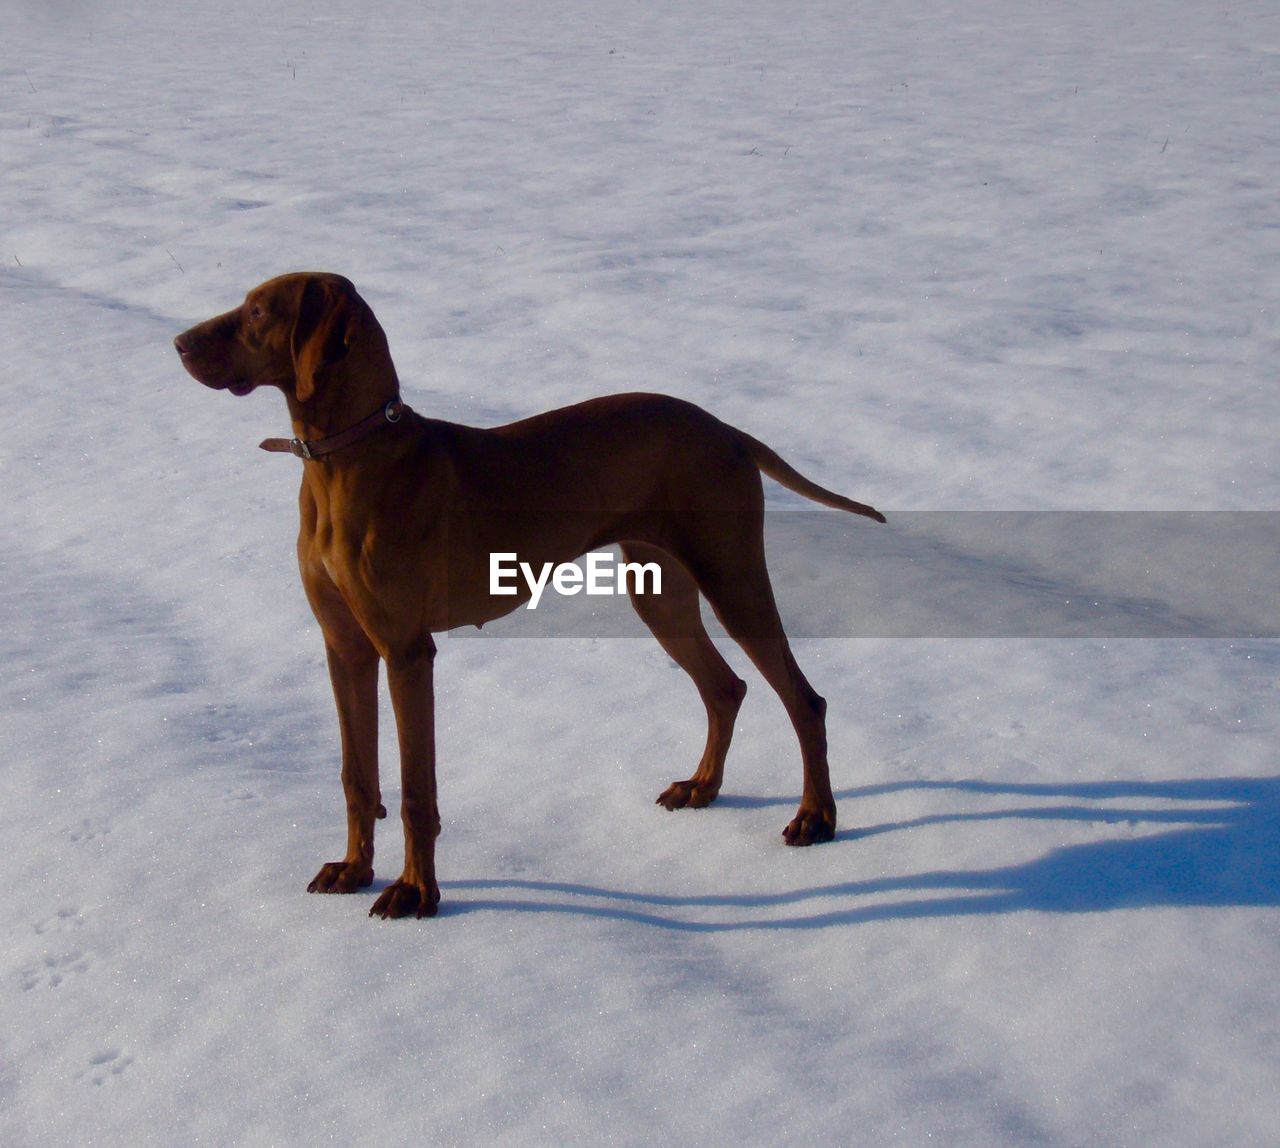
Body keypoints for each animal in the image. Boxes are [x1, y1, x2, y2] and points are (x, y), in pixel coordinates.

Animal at [175, 273, 885, 916]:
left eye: (259, 310)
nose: (177, 342)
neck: (347, 457)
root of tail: (727, 429)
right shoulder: (344, 648)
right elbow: (356, 774)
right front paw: (354, 870)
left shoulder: (406, 652)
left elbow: (414, 789)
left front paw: (416, 892)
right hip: (659, 593)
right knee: (725, 688)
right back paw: (704, 787)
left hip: (732, 579)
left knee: (804, 700)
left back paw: (817, 818)